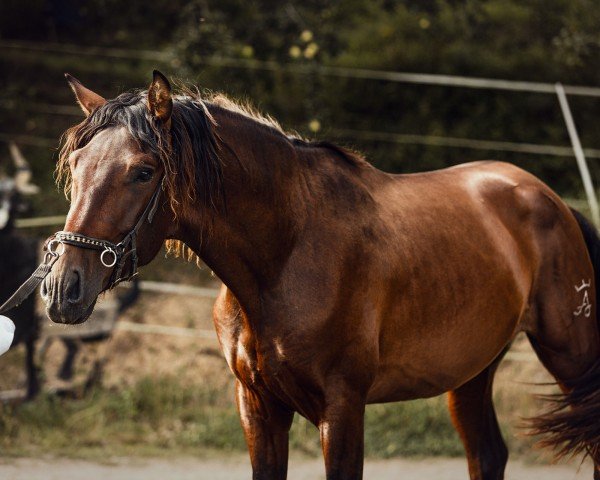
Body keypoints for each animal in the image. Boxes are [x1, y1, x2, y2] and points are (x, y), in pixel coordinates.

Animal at [42, 72, 600, 480]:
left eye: (143, 171)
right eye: (78, 163)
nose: (63, 288)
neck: (286, 256)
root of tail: (550, 199)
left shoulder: (343, 408)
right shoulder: (258, 406)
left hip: (571, 356)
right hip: (472, 373)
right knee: (487, 456)